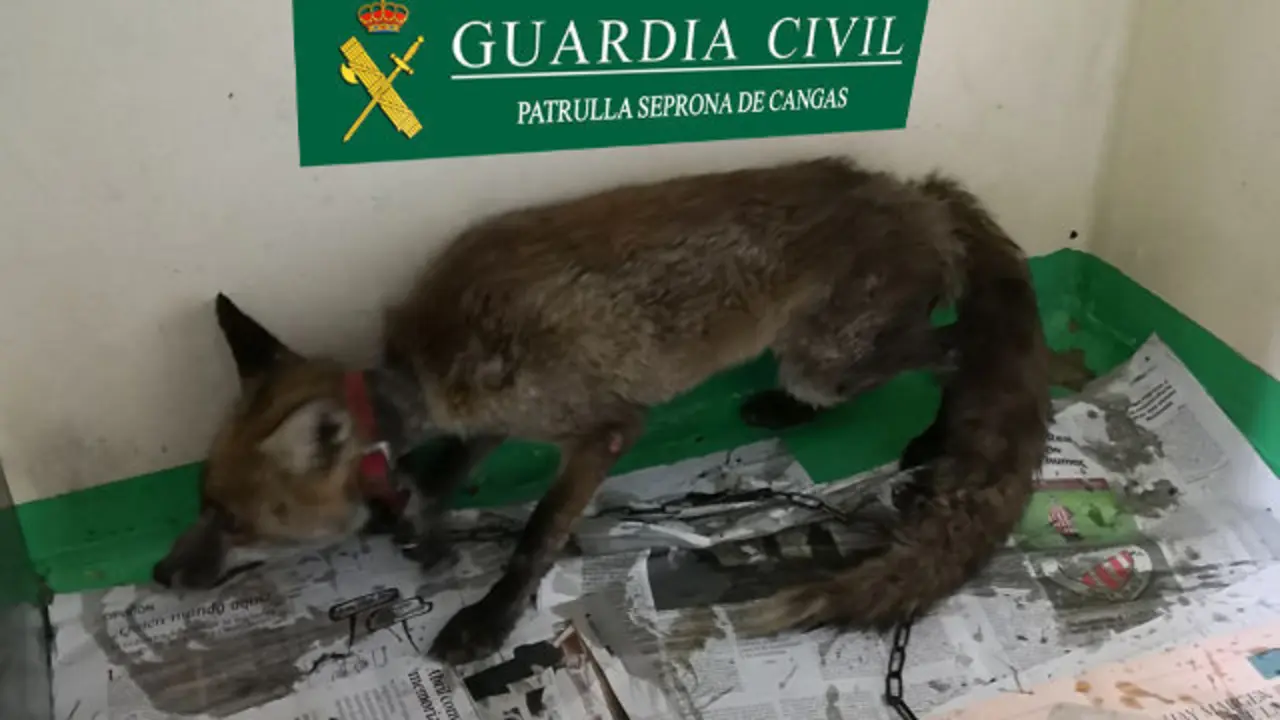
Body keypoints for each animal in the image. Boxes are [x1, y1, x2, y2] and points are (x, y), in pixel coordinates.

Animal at [151, 156, 1050, 665]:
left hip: (826, 358)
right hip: (824, 356)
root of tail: (915, 192)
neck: (431, 363)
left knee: (958, 352)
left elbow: (538, 535)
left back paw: (934, 435)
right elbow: (437, 475)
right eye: (201, 502)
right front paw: (418, 523)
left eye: (234, 520)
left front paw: (490, 617)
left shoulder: (602, 427)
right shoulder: (492, 419)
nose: (160, 575)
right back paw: (789, 413)